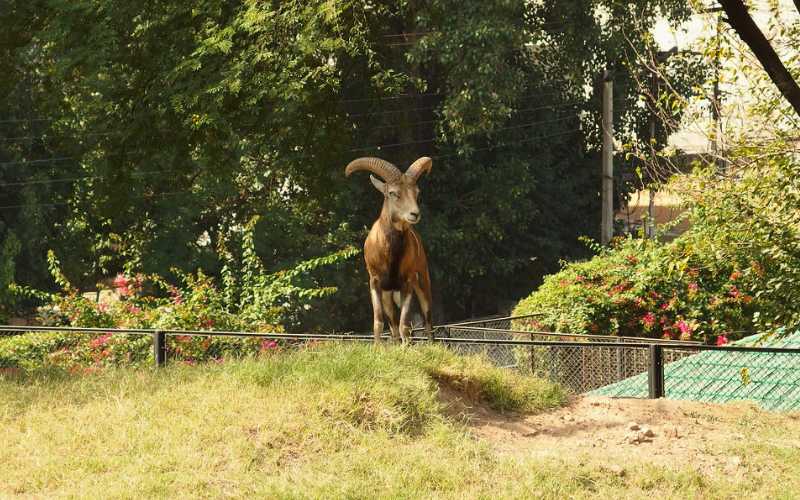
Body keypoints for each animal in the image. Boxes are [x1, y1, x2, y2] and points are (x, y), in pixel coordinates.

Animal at [344, 156, 432, 344]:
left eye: (417, 192)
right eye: (392, 193)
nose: (414, 214)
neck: (391, 255)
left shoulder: (408, 283)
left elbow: (405, 325)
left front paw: (406, 347)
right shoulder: (375, 283)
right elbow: (379, 322)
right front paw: (377, 347)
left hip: (422, 283)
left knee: (428, 319)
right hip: (388, 297)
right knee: (393, 324)